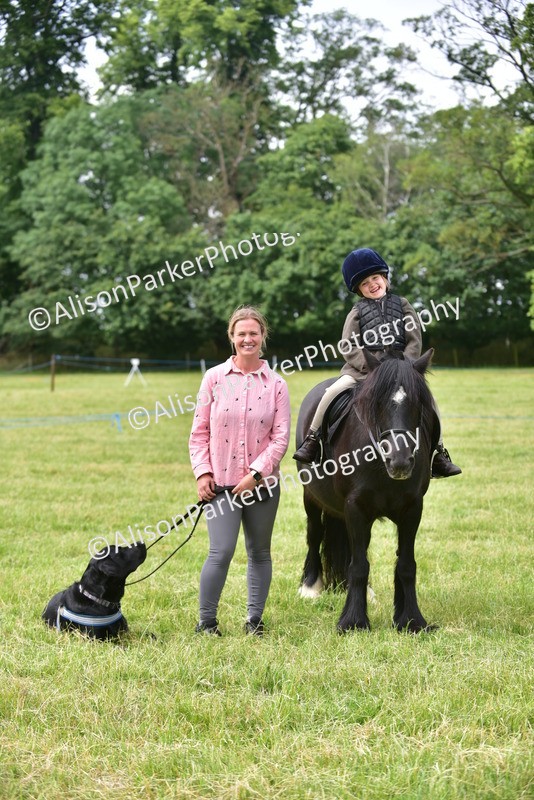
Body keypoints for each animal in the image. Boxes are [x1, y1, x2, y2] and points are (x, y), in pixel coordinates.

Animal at [296, 348, 440, 633]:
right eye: (378, 403)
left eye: (419, 404)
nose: (399, 461)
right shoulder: (355, 507)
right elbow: (359, 565)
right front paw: (353, 622)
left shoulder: (412, 508)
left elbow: (406, 565)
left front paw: (411, 620)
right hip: (312, 497)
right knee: (315, 534)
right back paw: (310, 588)